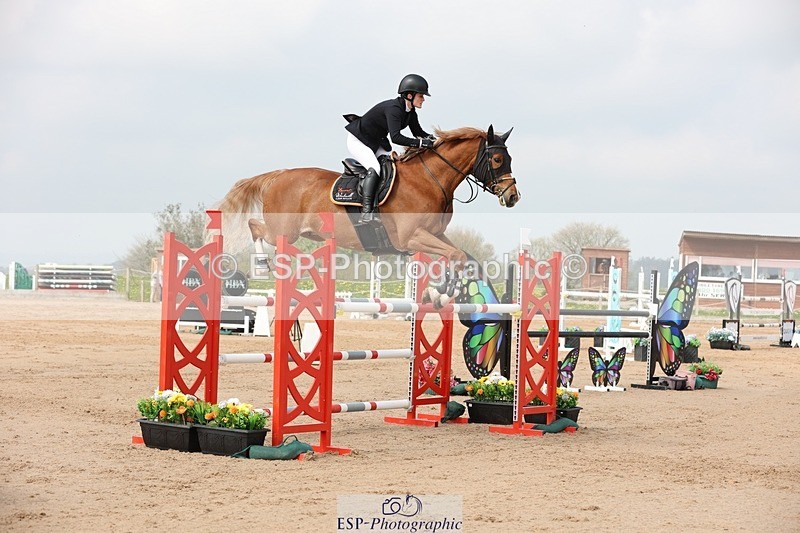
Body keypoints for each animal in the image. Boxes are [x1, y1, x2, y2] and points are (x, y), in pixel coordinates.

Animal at [218, 125, 520, 291]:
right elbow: (455, 254)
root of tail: (279, 175)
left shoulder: (435, 234)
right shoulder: (410, 237)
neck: (429, 179)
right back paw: (260, 268)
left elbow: (460, 254)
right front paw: (444, 286)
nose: (513, 196)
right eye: (496, 159)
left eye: (509, 158)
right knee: (255, 227)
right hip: (284, 231)